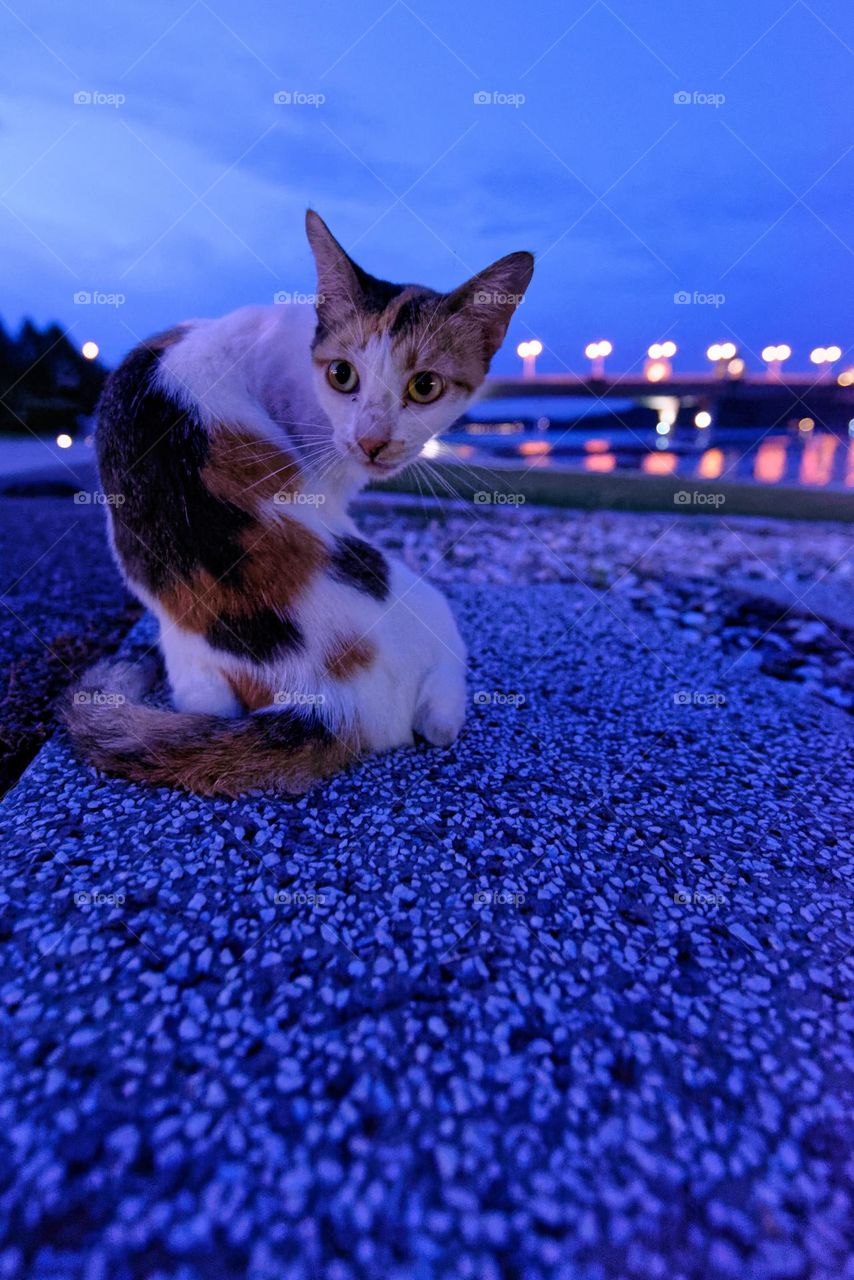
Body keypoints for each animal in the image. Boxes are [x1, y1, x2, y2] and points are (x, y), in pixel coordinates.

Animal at [65, 209, 535, 788]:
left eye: (425, 386)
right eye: (342, 375)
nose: (372, 441)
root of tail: (331, 706)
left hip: (193, 671)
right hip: (430, 601)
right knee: (443, 708)